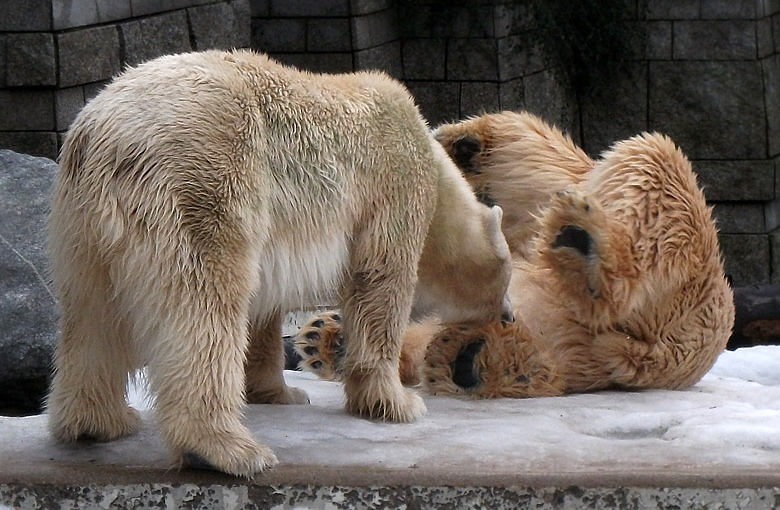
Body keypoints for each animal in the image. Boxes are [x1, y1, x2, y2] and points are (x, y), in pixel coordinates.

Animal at [45, 49, 516, 476]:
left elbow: (263, 308)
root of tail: (105, 133)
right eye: (505, 279)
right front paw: (396, 402)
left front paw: (282, 392)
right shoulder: (391, 185)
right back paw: (224, 449)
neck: (435, 168)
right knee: (203, 308)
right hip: (200, 182)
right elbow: (380, 280)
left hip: (81, 224)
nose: (510, 316)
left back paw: (99, 422)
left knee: (92, 315)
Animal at [296, 110, 736, 398]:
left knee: (652, 158)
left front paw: (460, 144)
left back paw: (584, 246)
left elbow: (544, 162)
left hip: (687, 280)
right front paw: (324, 336)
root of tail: (660, 353)